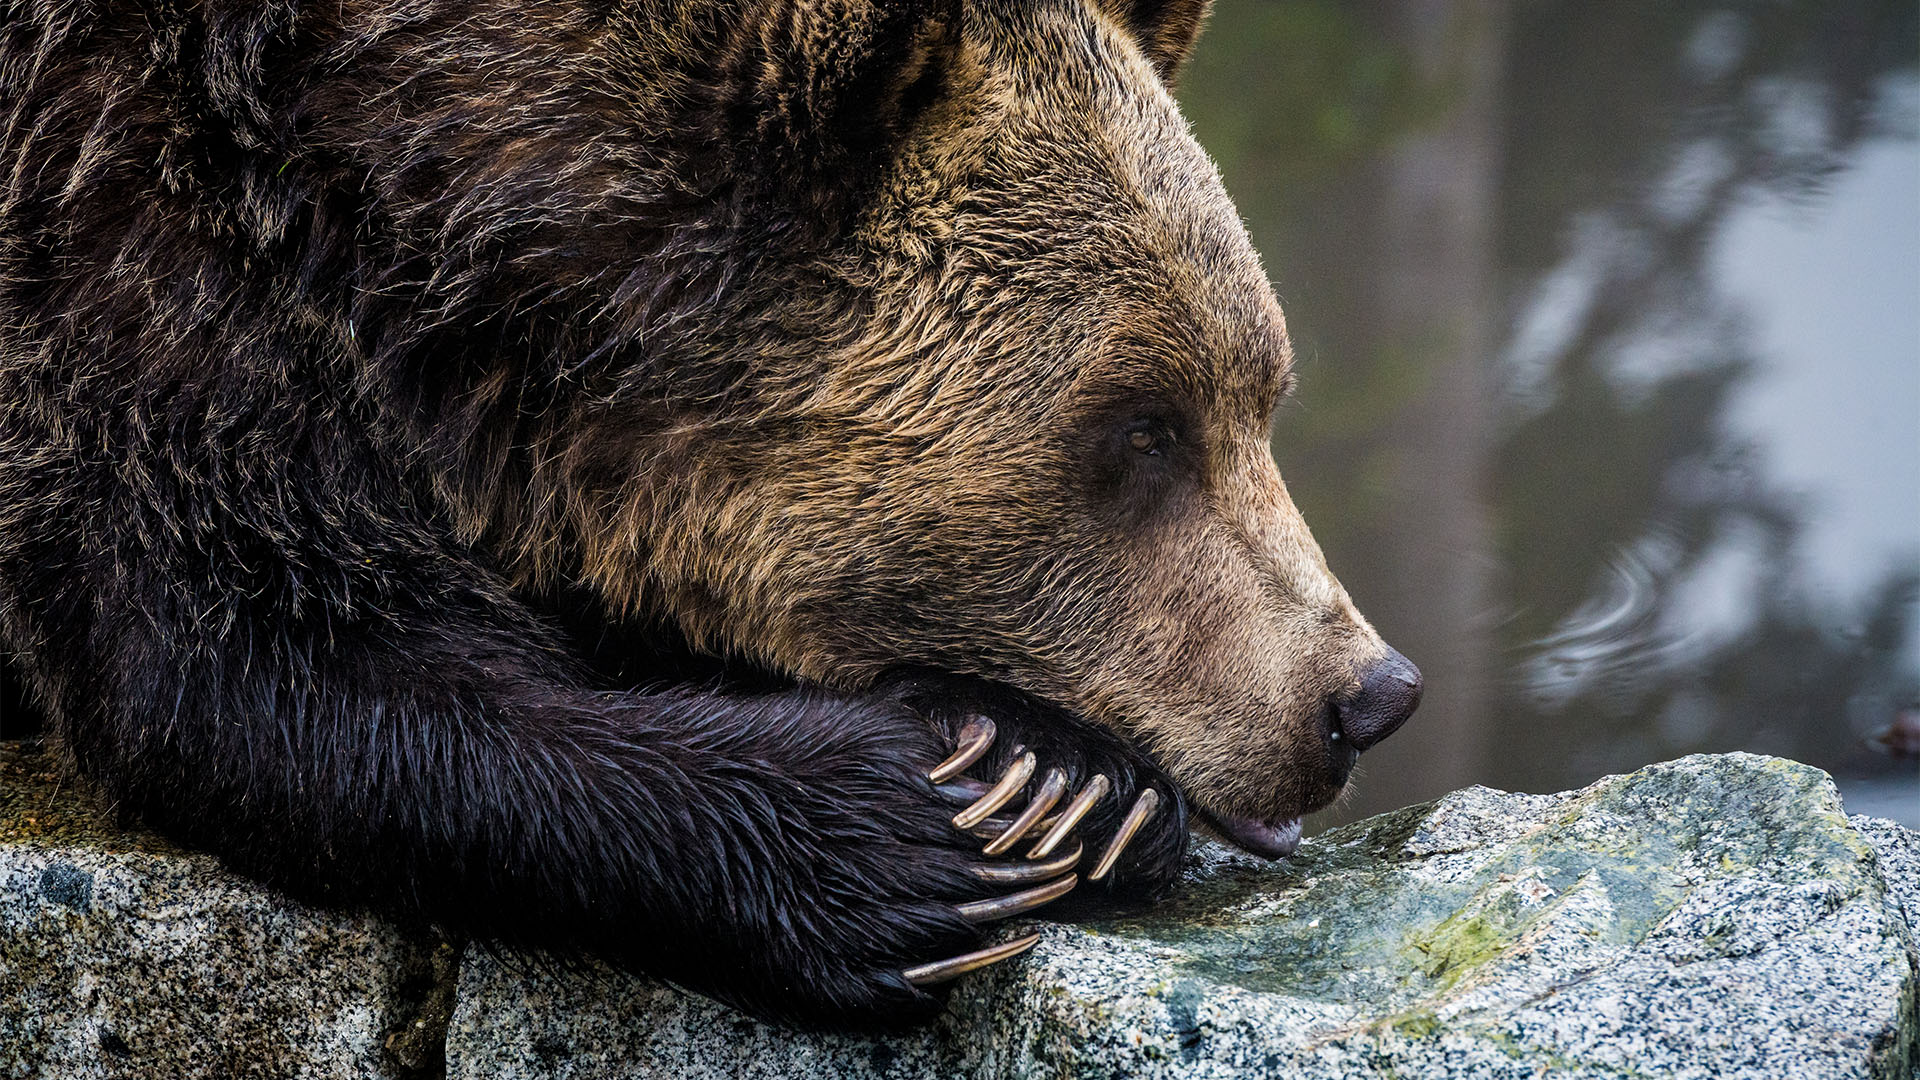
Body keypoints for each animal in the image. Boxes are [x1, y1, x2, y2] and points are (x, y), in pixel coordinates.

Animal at [0, 0, 1413, 1022]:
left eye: (1262, 393)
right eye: (1141, 426)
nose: (1366, 695)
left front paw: (1062, 775)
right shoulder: (121, 250)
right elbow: (273, 666)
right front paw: (920, 832)